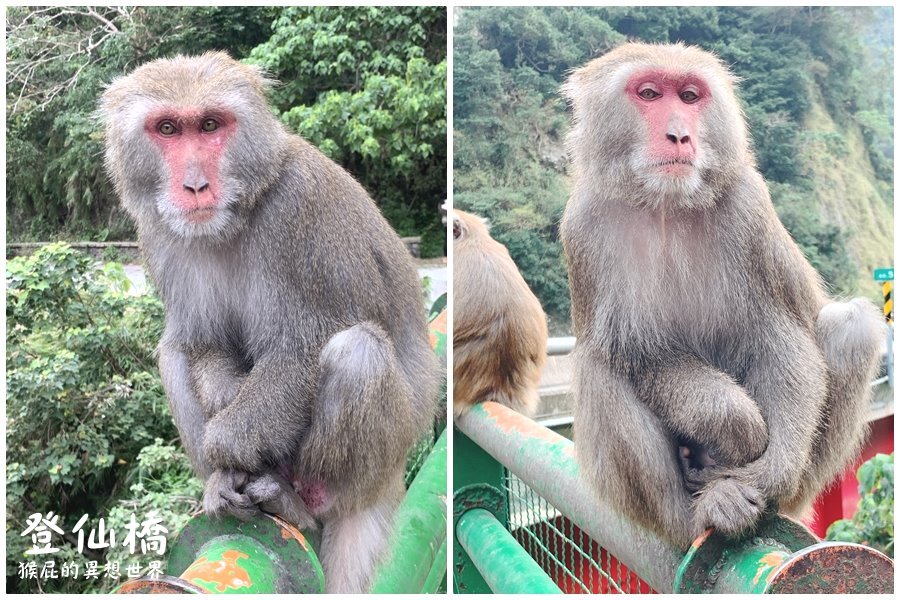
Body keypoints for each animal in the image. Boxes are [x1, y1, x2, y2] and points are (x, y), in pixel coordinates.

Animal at [102, 52, 440, 596]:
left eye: (211, 125)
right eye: (168, 128)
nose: (195, 186)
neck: (238, 215)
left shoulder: (299, 212)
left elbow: (300, 351)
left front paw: (224, 442)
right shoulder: (157, 235)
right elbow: (201, 343)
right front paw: (223, 400)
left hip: (384, 455)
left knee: (358, 352)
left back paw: (300, 505)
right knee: (173, 353)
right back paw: (226, 481)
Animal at [560, 43, 884, 548]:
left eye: (690, 96)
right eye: (649, 94)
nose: (679, 135)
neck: (668, 206)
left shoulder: (748, 208)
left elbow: (781, 339)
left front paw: (767, 472)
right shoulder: (584, 227)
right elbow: (639, 353)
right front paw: (737, 426)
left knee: (853, 328)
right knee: (598, 366)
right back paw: (699, 514)